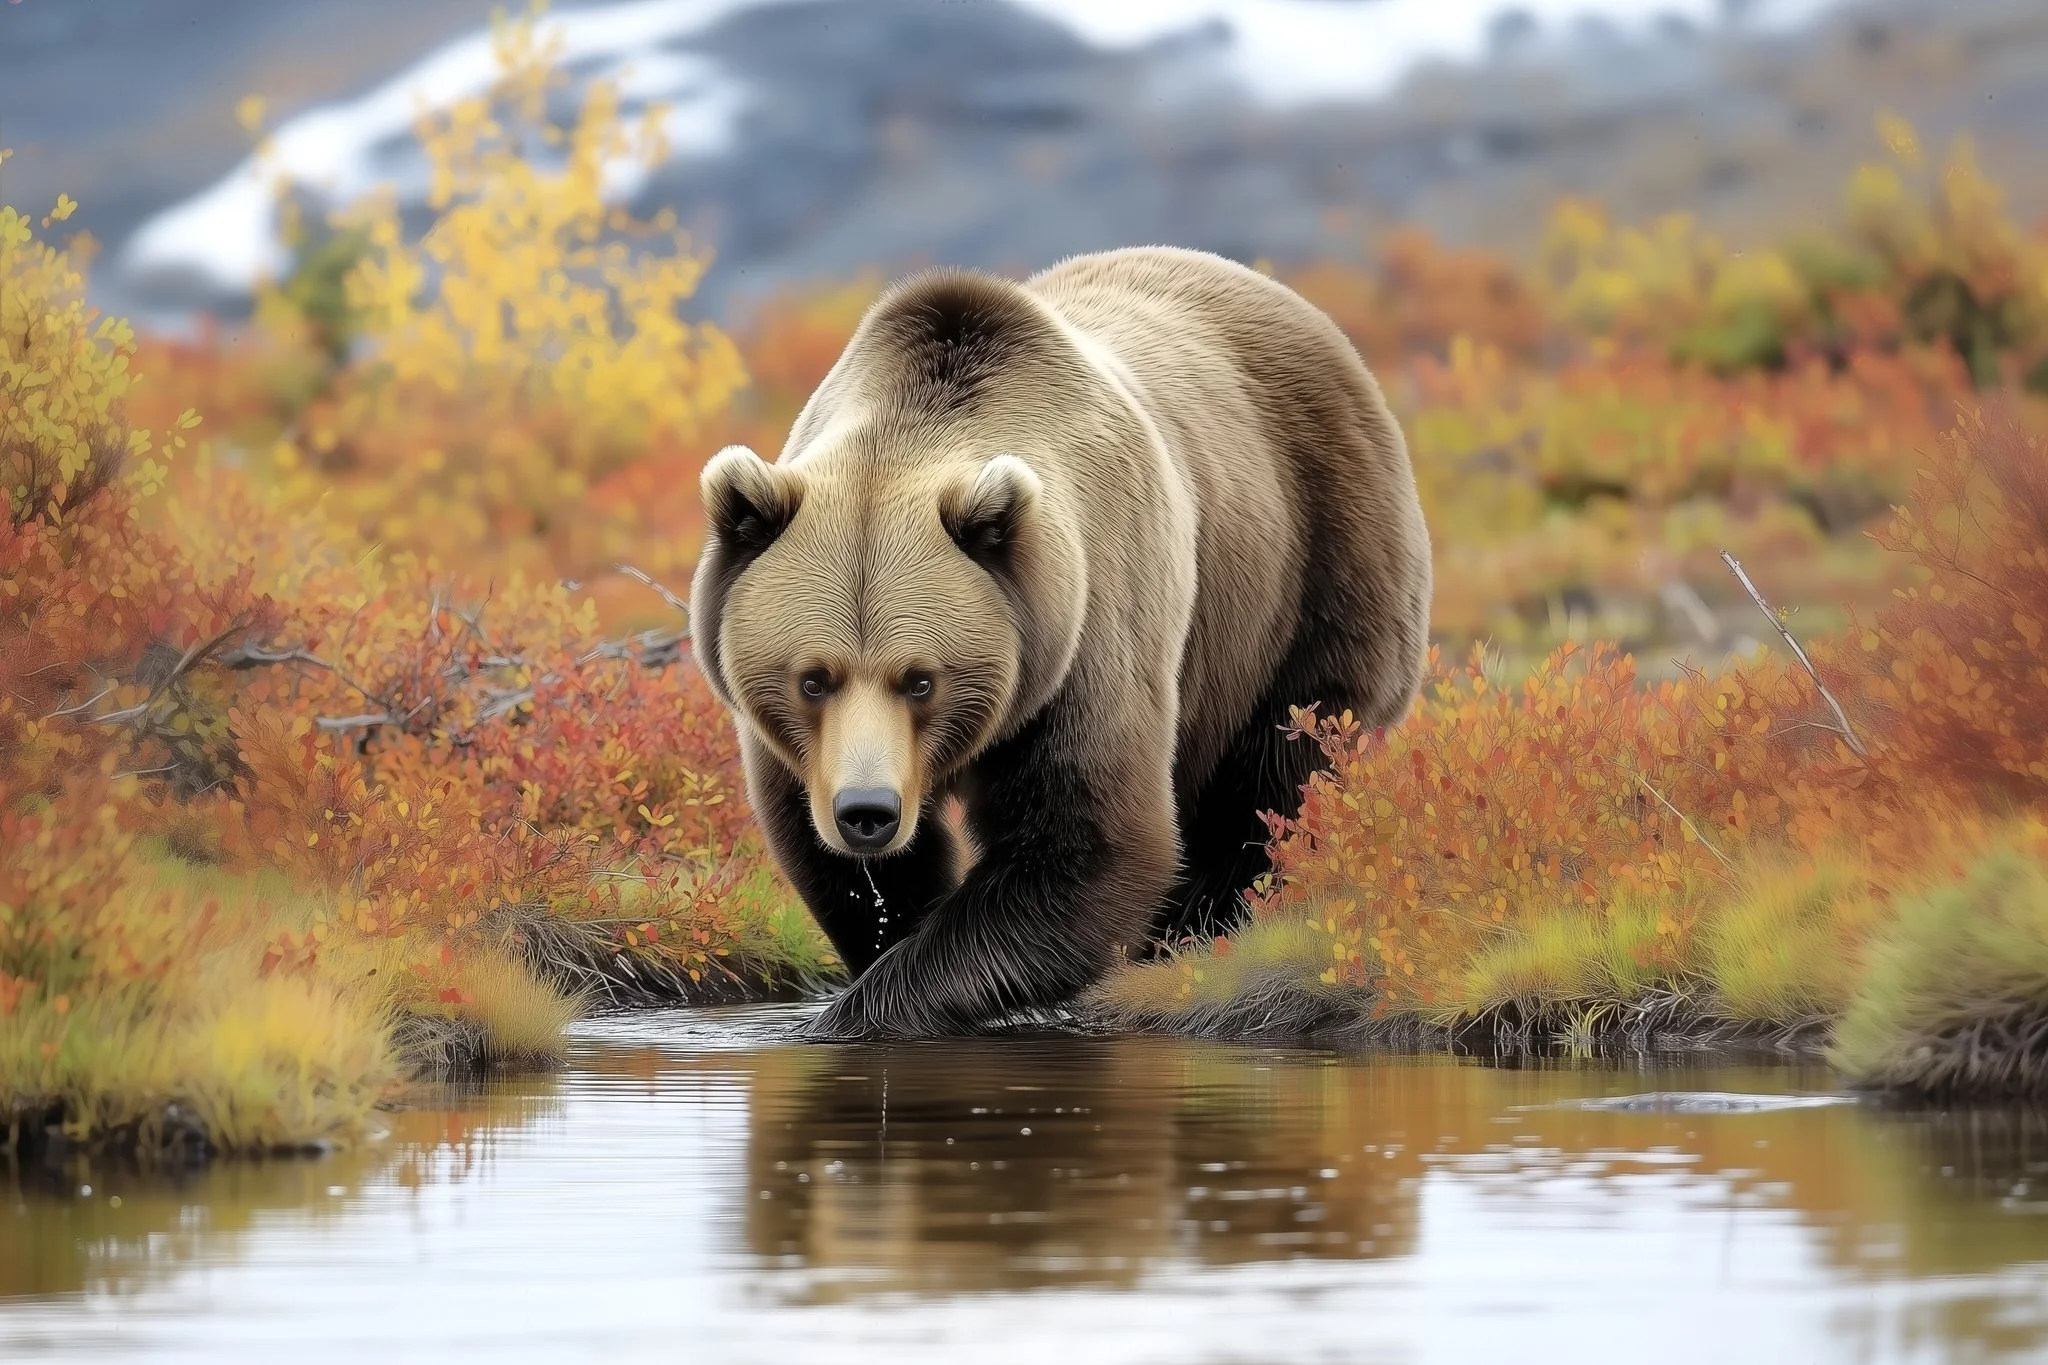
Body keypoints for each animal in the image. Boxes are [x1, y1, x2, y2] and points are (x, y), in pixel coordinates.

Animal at [690, 246, 1431, 1040]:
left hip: (1311, 571)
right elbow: (837, 861)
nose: (869, 811)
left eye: (921, 678)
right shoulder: (798, 744)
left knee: (1272, 783)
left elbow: (1089, 843)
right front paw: (879, 937)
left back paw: (1190, 936)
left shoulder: (1085, 638)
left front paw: (850, 1013)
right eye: (812, 678)